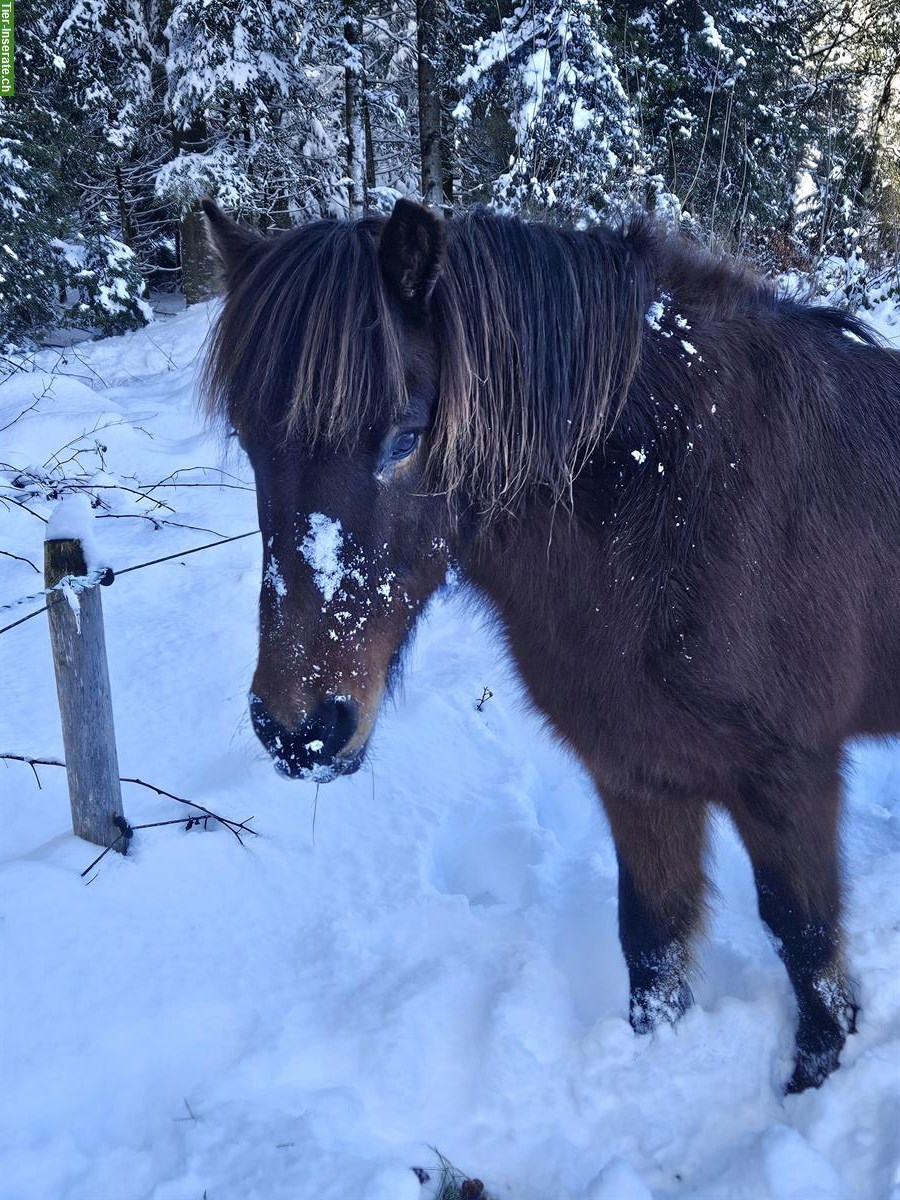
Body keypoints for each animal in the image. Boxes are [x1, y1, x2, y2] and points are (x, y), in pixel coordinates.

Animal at [202, 199, 900, 1099]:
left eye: (404, 434)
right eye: (249, 438)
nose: (299, 728)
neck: (679, 498)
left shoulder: (790, 775)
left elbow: (806, 948)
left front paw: (811, 1082)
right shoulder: (638, 770)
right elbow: (653, 939)